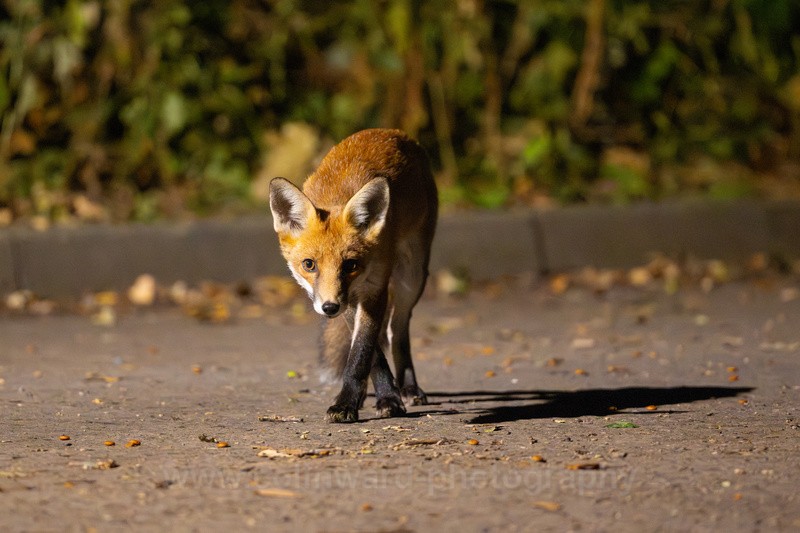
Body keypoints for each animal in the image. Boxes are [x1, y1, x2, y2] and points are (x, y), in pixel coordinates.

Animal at [269, 129, 438, 423]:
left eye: (350, 265)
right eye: (309, 265)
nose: (329, 308)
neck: (337, 195)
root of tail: (393, 132)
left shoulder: (373, 288)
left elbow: (361, 351)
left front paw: (365, 401)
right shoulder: (349, 300)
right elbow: (371, 354)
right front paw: (370, 397)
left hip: (412, 275)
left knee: (395, 329)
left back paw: (408, 387)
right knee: (383, 337)